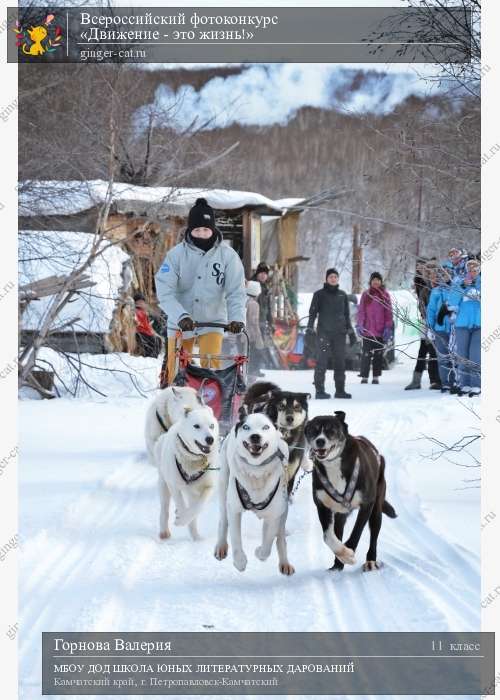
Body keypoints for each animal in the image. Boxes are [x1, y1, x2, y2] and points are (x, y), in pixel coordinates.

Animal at [154, 404, 219, 540]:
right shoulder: (174, 485)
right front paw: (180, 519)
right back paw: (164, 531)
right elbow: (181, 504)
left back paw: (196, 537)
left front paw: (183, 519)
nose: (210, 439)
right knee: (165, 509)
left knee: (193, 514)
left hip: (192, 493)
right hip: (163, 484)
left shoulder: (209, 487)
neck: (194, 460)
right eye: (196, 426)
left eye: (212, 426)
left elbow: (197, 508)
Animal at [214, 410, 292, 576]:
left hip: (283, 511)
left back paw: (285, 563)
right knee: (223, 519)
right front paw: (240, 562)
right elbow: (236, 537)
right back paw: (221, 546)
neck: (257, 472)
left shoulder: (275, 514)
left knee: (280, 537)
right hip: (224, 487)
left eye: (265, 427)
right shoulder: (234, 509)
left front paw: (259, 552)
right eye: (246, 427)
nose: (255, 436)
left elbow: (268, 543)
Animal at [302, 412, 396, 572]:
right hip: (340, 515)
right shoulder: (322, 506)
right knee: (337, 532)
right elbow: (328, 537)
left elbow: (357, 531)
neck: (334, 464)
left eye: (331, 429)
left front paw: (349, 552)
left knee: (374, 535)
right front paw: (344, 555)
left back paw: (370, 561)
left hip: (376, 509)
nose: (320, 441)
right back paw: (337, 565)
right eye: (314, 430)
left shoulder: (367, 504)